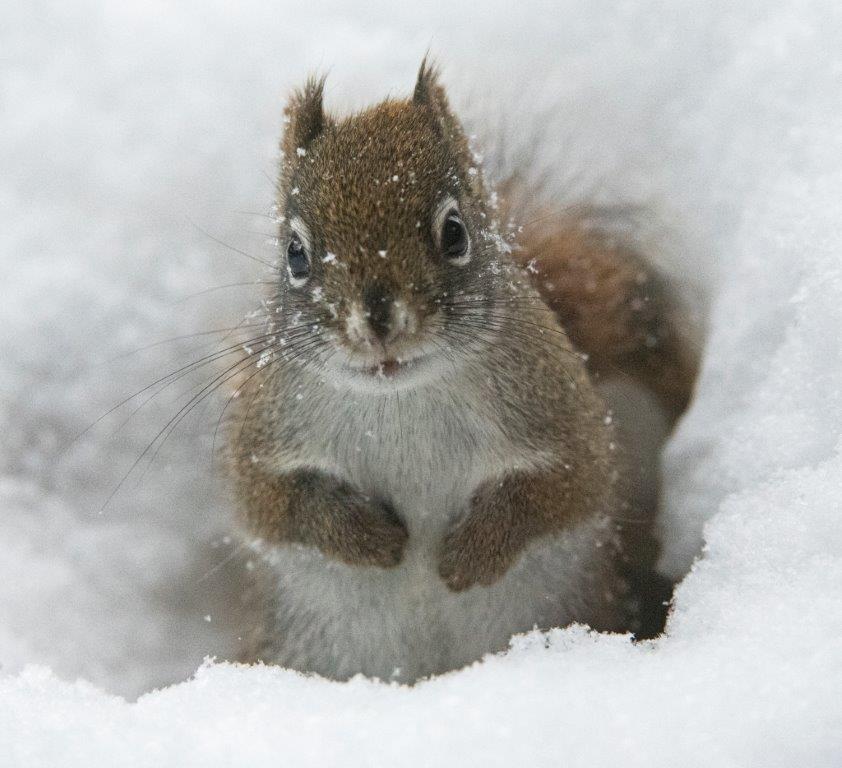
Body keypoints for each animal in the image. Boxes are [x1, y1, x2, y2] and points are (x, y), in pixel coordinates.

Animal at [225, 60, 698, 682]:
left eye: (454, 232)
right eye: (295, 254)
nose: (378, 322)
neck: (399, 400)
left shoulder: (566, 415)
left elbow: (566, 487)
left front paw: (468, 556)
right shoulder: (262, 434)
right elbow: (273, 504)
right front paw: (371, 541)